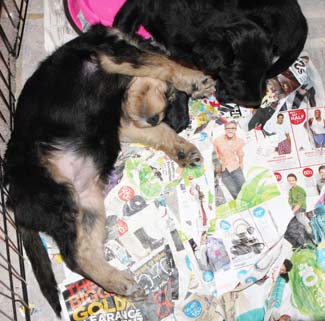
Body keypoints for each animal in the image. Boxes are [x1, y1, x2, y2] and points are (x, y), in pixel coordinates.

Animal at [3, 25, 214, 316]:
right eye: (169, 94)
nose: (155, 118)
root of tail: (14, 202)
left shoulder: (125, 123)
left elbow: (160, 132)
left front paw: (182, 149)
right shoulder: (110, 54)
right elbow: (160, 63)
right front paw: (196, 80)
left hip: (87, 205)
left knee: (81, 253)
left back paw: (120, 283)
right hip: (58, 194)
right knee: (74, 257)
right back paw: (120, 282)